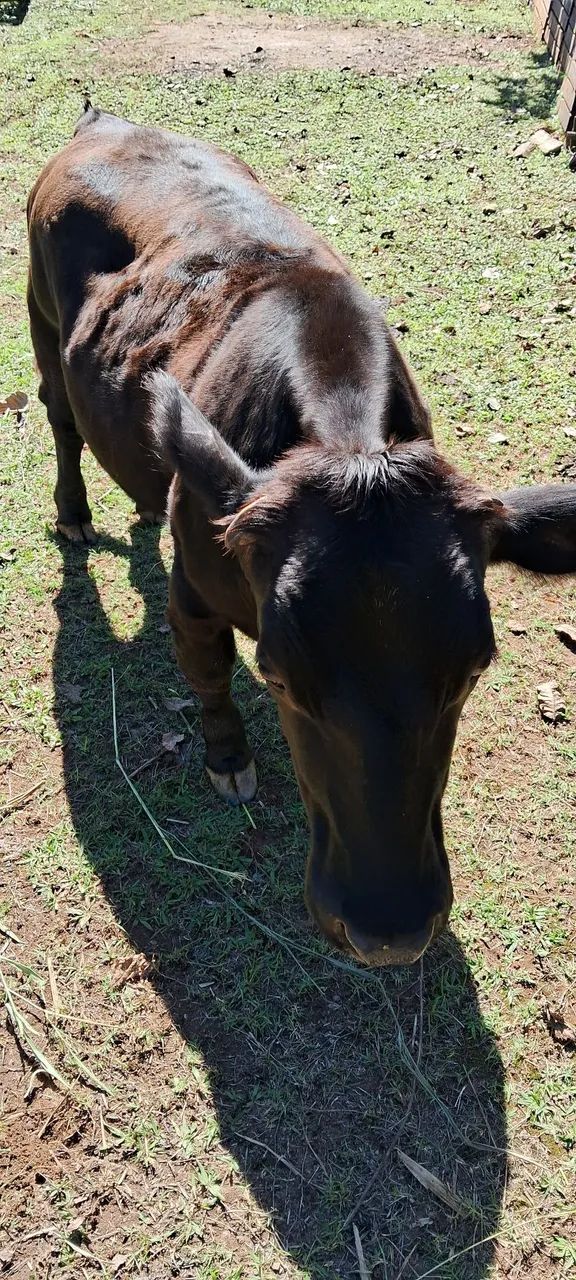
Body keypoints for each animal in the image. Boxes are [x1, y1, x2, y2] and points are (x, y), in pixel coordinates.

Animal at [27, 106, 576, 966]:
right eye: (279, 678)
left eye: (474, 671)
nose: (389, 929)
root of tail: (102, 122)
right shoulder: (197, 591)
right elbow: (208, 677)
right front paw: (228, 759)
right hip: (39, 318)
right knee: (59, 418)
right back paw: (75, 511)